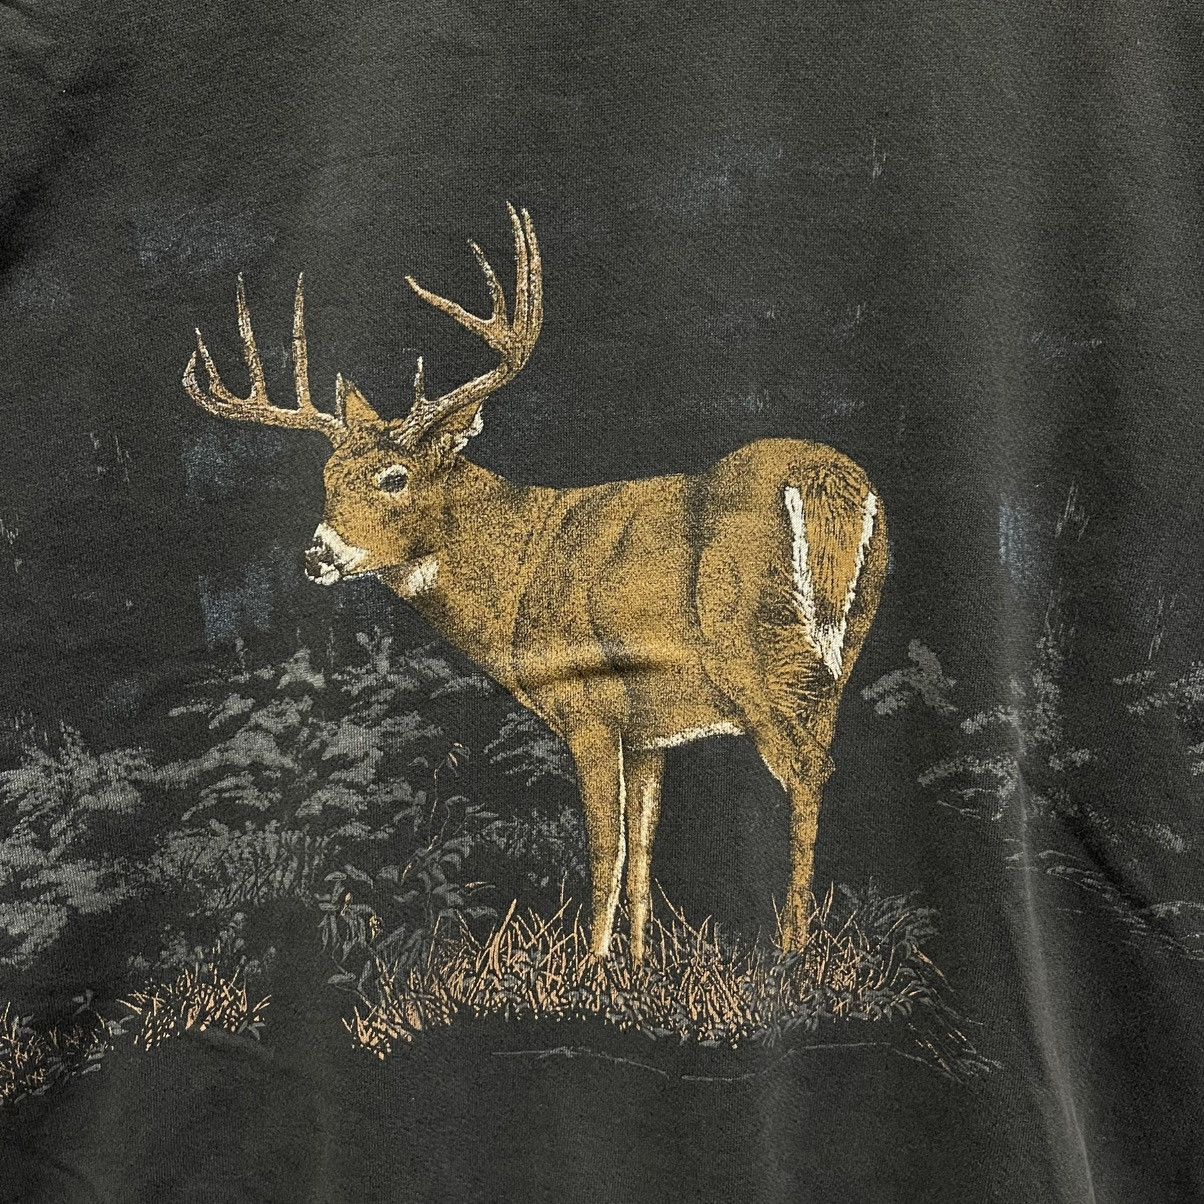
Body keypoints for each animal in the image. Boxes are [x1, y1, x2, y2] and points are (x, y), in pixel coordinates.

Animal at [182, 203, 889, 964]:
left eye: (393, 478)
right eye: (327, 480)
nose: (317, 553)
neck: (519, 571)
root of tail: (829, 488)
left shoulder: (591, 705)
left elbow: (606, 852)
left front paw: (592, 967)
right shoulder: (650, 730)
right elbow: (644, 852)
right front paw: (637, 966)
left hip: (759, 660)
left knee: (806, 775)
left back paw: (793, 955)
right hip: (837, 654)